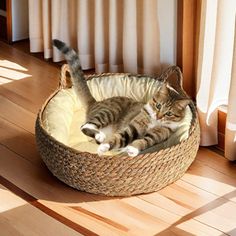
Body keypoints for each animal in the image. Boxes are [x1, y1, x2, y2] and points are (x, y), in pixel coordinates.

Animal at [52, 39, 190, 157]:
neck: (154, 122)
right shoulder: (133, 127)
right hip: (109, 112)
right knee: (85, 126)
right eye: (158, 105)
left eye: (169, 113)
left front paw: (132, 149)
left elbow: (142, 141)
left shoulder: (156, 136)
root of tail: (96, 102)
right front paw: (104, 148)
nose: (158, 116)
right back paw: (100, 136)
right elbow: (119, 137)